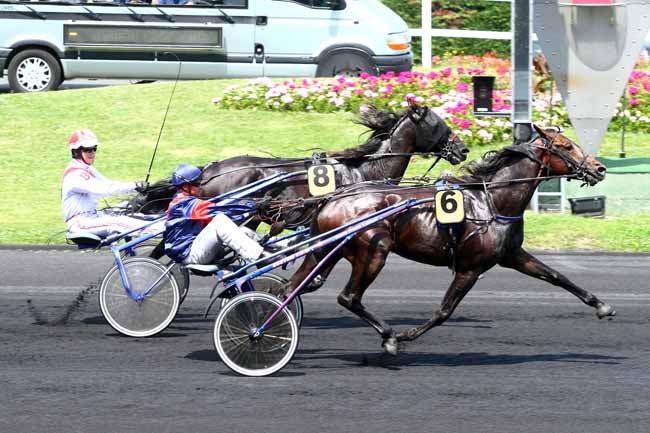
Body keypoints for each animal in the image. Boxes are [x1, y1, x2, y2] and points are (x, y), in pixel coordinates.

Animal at [282, 123, 608, 352]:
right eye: (566, 146)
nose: (599, 168)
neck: (492, 202)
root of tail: (333, 197)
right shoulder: (470, 268)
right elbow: (443, 311)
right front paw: (405, 335)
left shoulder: (512, 254)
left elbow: (556, 276)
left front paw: (601, 306)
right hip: (374, 249)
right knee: (348, 297)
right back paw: (389, 336)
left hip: (326, 250)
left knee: (294, 286)